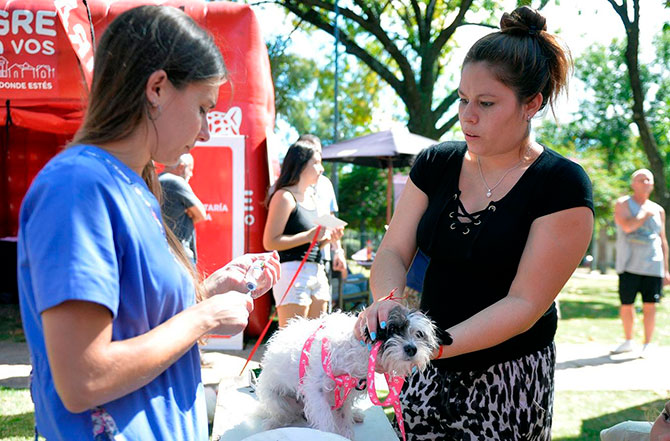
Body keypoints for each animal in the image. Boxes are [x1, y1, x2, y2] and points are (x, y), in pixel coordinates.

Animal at [258, 304, 440, 438]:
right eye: (392, 329)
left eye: (418, 334)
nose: (412, 349)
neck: (357, 350)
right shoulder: (316, 392)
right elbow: (326, 422)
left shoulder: (345, 392)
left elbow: (344, 416)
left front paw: (346, 432)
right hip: (277, 400)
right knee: (285, 415)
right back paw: (273, 422)